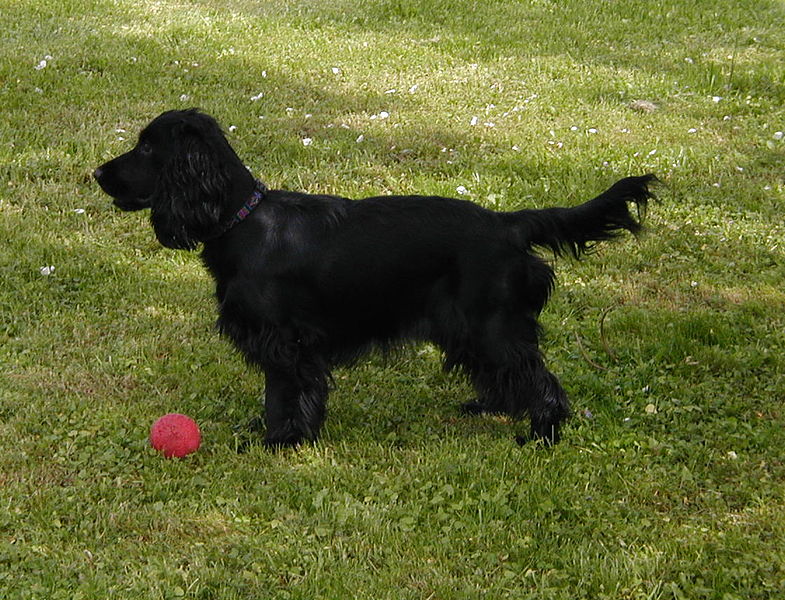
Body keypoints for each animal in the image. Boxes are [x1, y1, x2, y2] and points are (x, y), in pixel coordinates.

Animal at [93, 108, 656, 448]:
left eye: (148, 149)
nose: (97, 174)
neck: (241, 221)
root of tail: (508, 223)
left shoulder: (287, 342)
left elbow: (285, 392)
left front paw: (281, 440)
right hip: (468, 327)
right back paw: (486, 408)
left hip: (491, 324)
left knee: (537, 379)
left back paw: (542, 432)